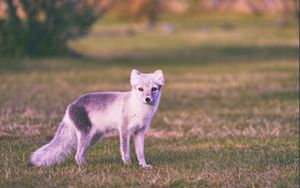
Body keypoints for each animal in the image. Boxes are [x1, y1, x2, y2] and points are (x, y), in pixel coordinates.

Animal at [29, 69, 164, 169]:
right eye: (140, 89)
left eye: (154, 89)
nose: (147, 99)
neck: (139, 109)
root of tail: (71, 105)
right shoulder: (124, 129)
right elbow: (125, 150)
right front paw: (128, 165)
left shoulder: (140, 131)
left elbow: (140, 152)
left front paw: (143, 165)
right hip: (86, 135)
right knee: (77, 155)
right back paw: (84, 167)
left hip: (94, 138)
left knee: (80, 154)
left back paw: (86, 164)